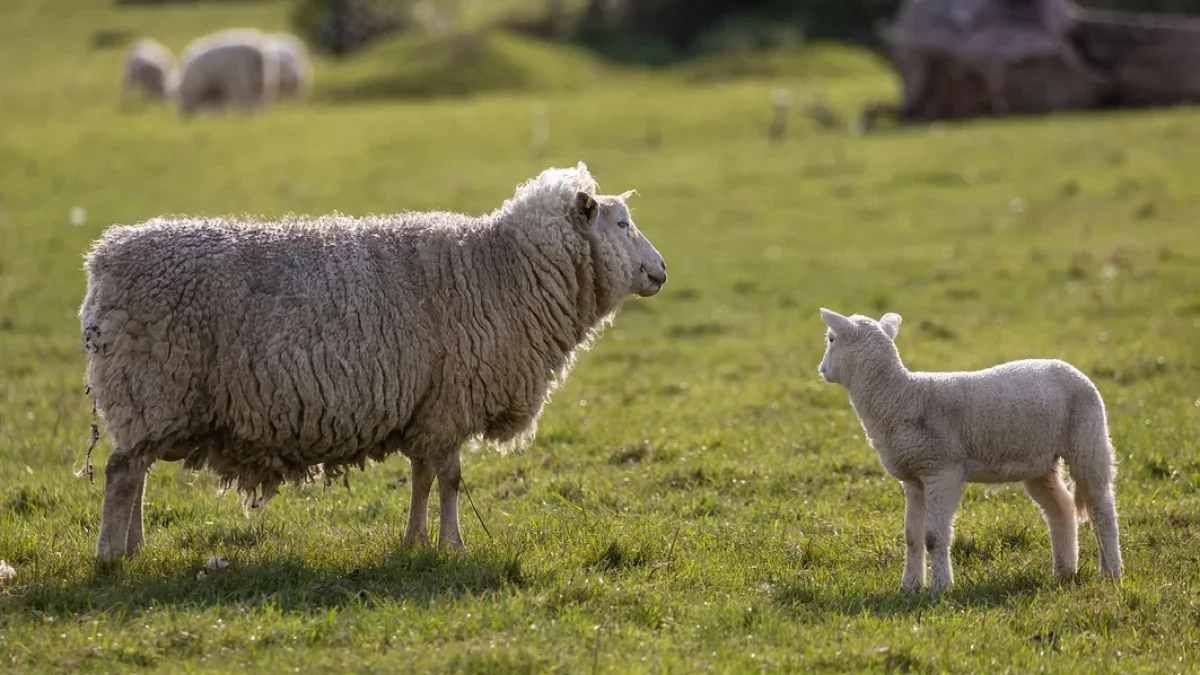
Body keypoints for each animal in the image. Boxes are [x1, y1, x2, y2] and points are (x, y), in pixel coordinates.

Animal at [79, 162, 672, 557]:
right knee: (121, 473)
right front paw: (452, 545)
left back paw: (134, 547)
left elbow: (422, 477)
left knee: (136, 472)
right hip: (150, 385)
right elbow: (450, 479)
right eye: (622, 225)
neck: (502, 270)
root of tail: (104, 259)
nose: (662, 270)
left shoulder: (428, 405)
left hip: (151, 400)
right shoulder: (452, 401)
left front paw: (414, 540)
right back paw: (110, 556)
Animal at [816, 307, 1123, 590]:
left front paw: (940, 587)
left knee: (1102, 508)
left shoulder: (942, 470)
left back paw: (1111, 572)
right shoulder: (914, 477)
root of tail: (1072, 369)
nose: (822, 370)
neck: (900, 397)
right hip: (1040, 461)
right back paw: (1064, 571)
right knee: (1061, 508)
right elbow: (912, 537)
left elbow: (933, 536)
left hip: (1088, 440)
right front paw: (909, 587)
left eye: (831, 339)